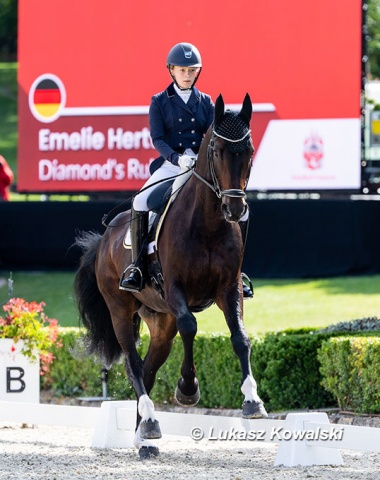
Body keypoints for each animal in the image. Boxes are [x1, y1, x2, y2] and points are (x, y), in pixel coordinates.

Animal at [74, 93, 268, 458]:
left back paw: (144, 438)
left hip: (160, 320)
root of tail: (105, 237)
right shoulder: (176, 287)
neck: (208, 223)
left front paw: (253, 402)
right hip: (120, 309)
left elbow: (240, 338)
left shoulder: (229, 289)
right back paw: (150, 424)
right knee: (134, 363)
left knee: (148, 369)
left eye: (249, 151)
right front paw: (188, 389)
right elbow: (190, 327)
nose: (235, 210)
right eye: (217, 151)